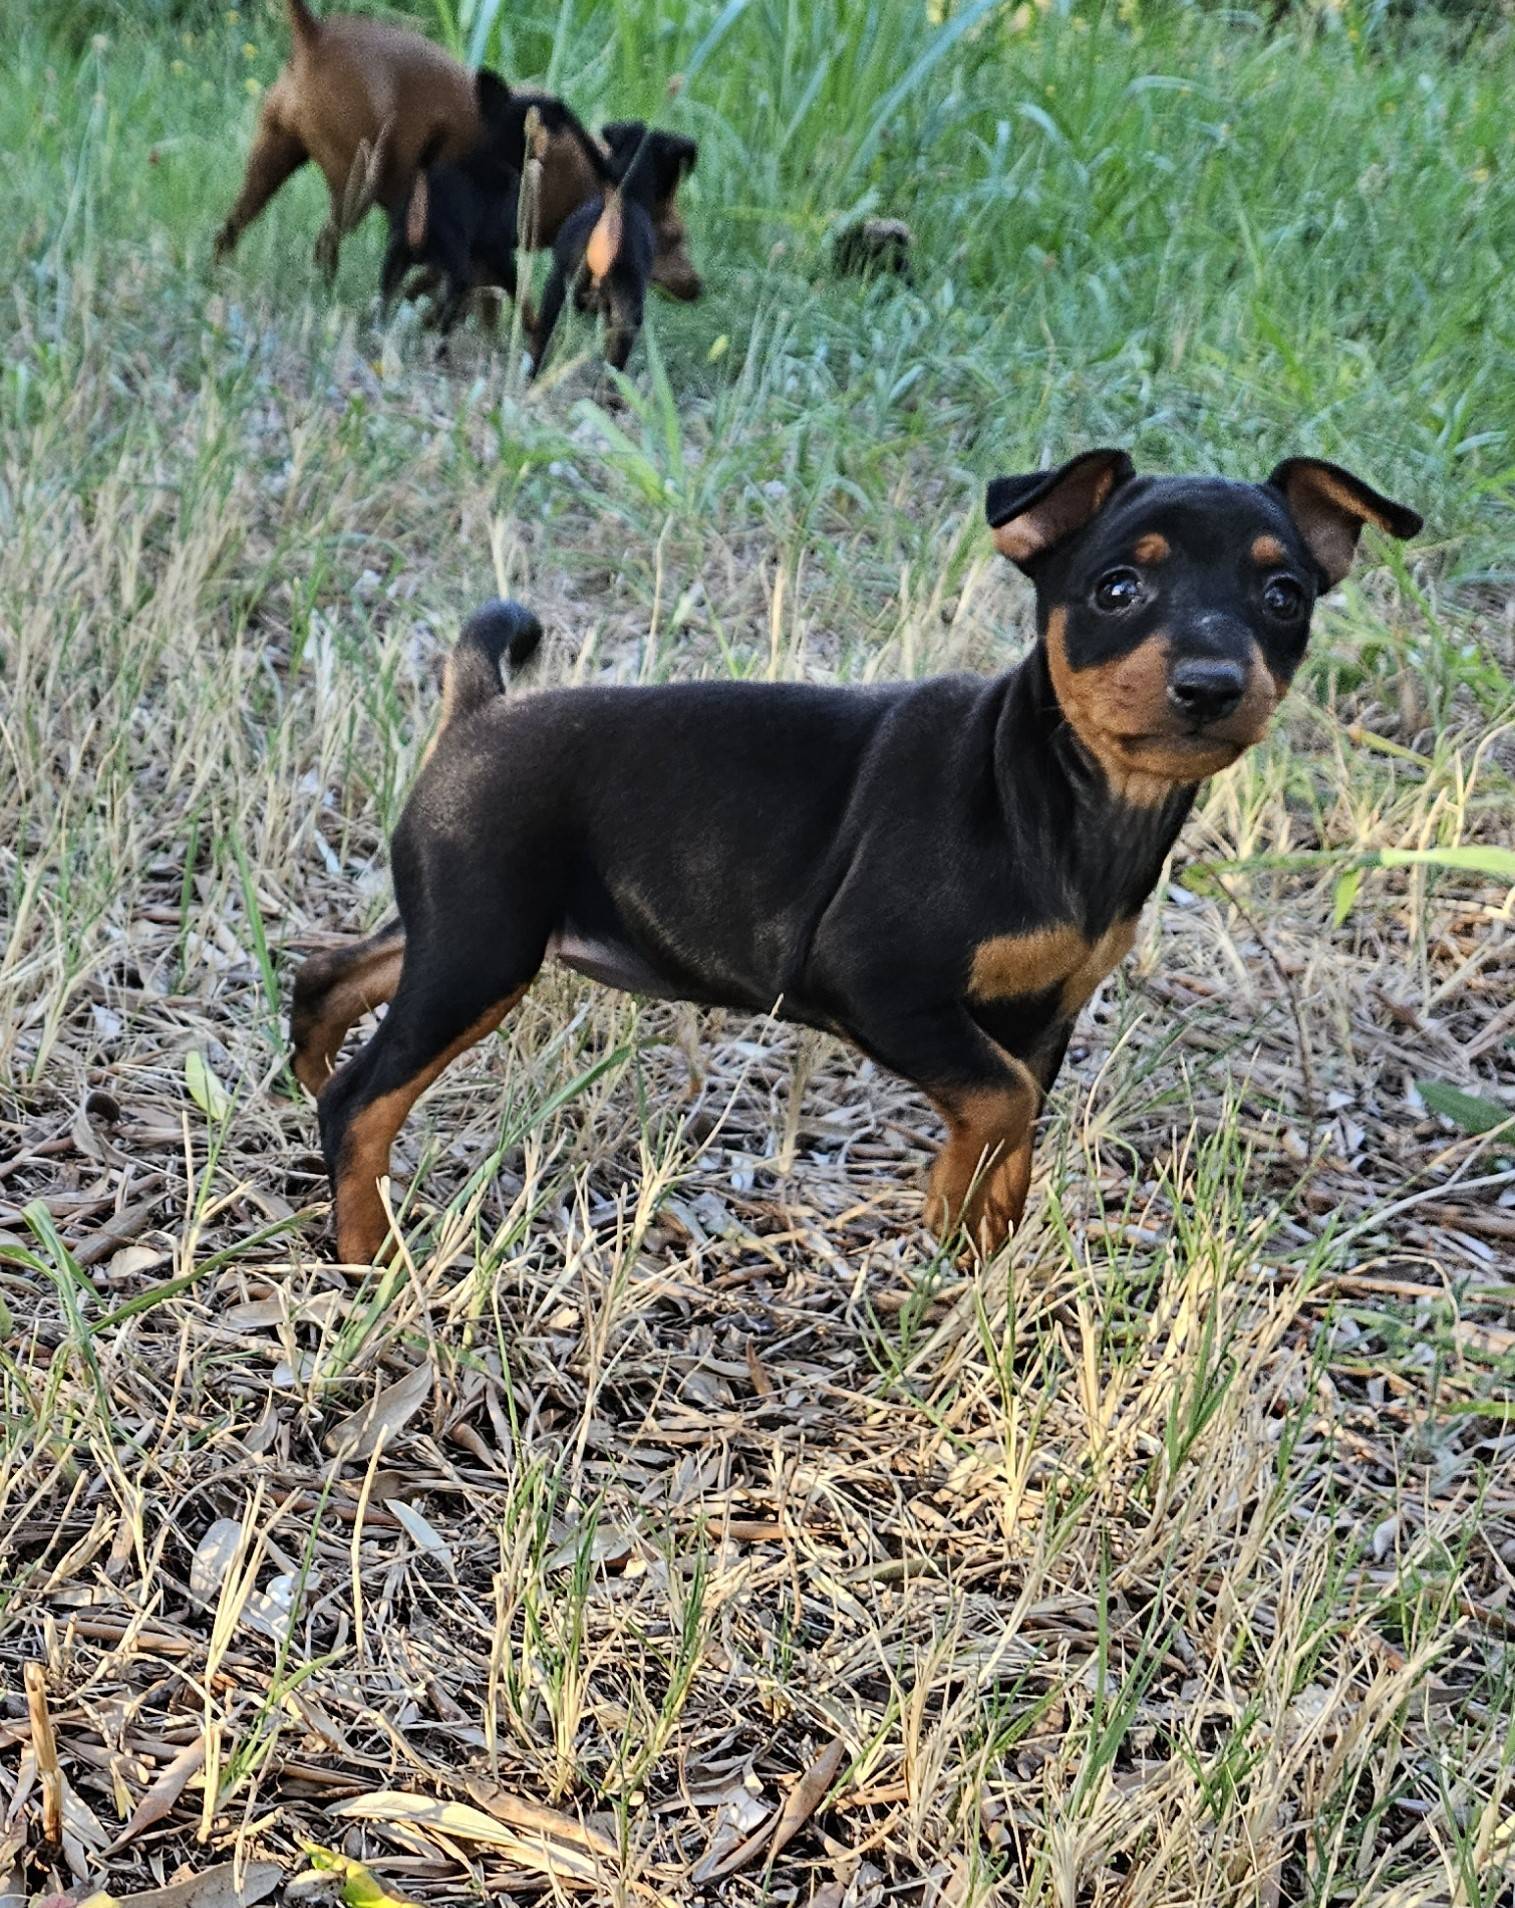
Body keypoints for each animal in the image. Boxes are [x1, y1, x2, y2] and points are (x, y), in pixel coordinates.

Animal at [291, 450, 1419, 1266]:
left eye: (1284, 597)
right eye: (1115, 589)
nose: (1213, 682)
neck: (1068, 801)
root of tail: (479, 710)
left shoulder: (1045, 1015)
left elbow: (1020, 1122)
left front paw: (984, 1244)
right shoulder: (880, 985)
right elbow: (1001, 1102)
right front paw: (948, 1209)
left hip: (470, 929)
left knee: (334, 969)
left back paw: (304, 1065)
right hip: (485, 950)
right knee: (364, 1102)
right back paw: (366, 1252)